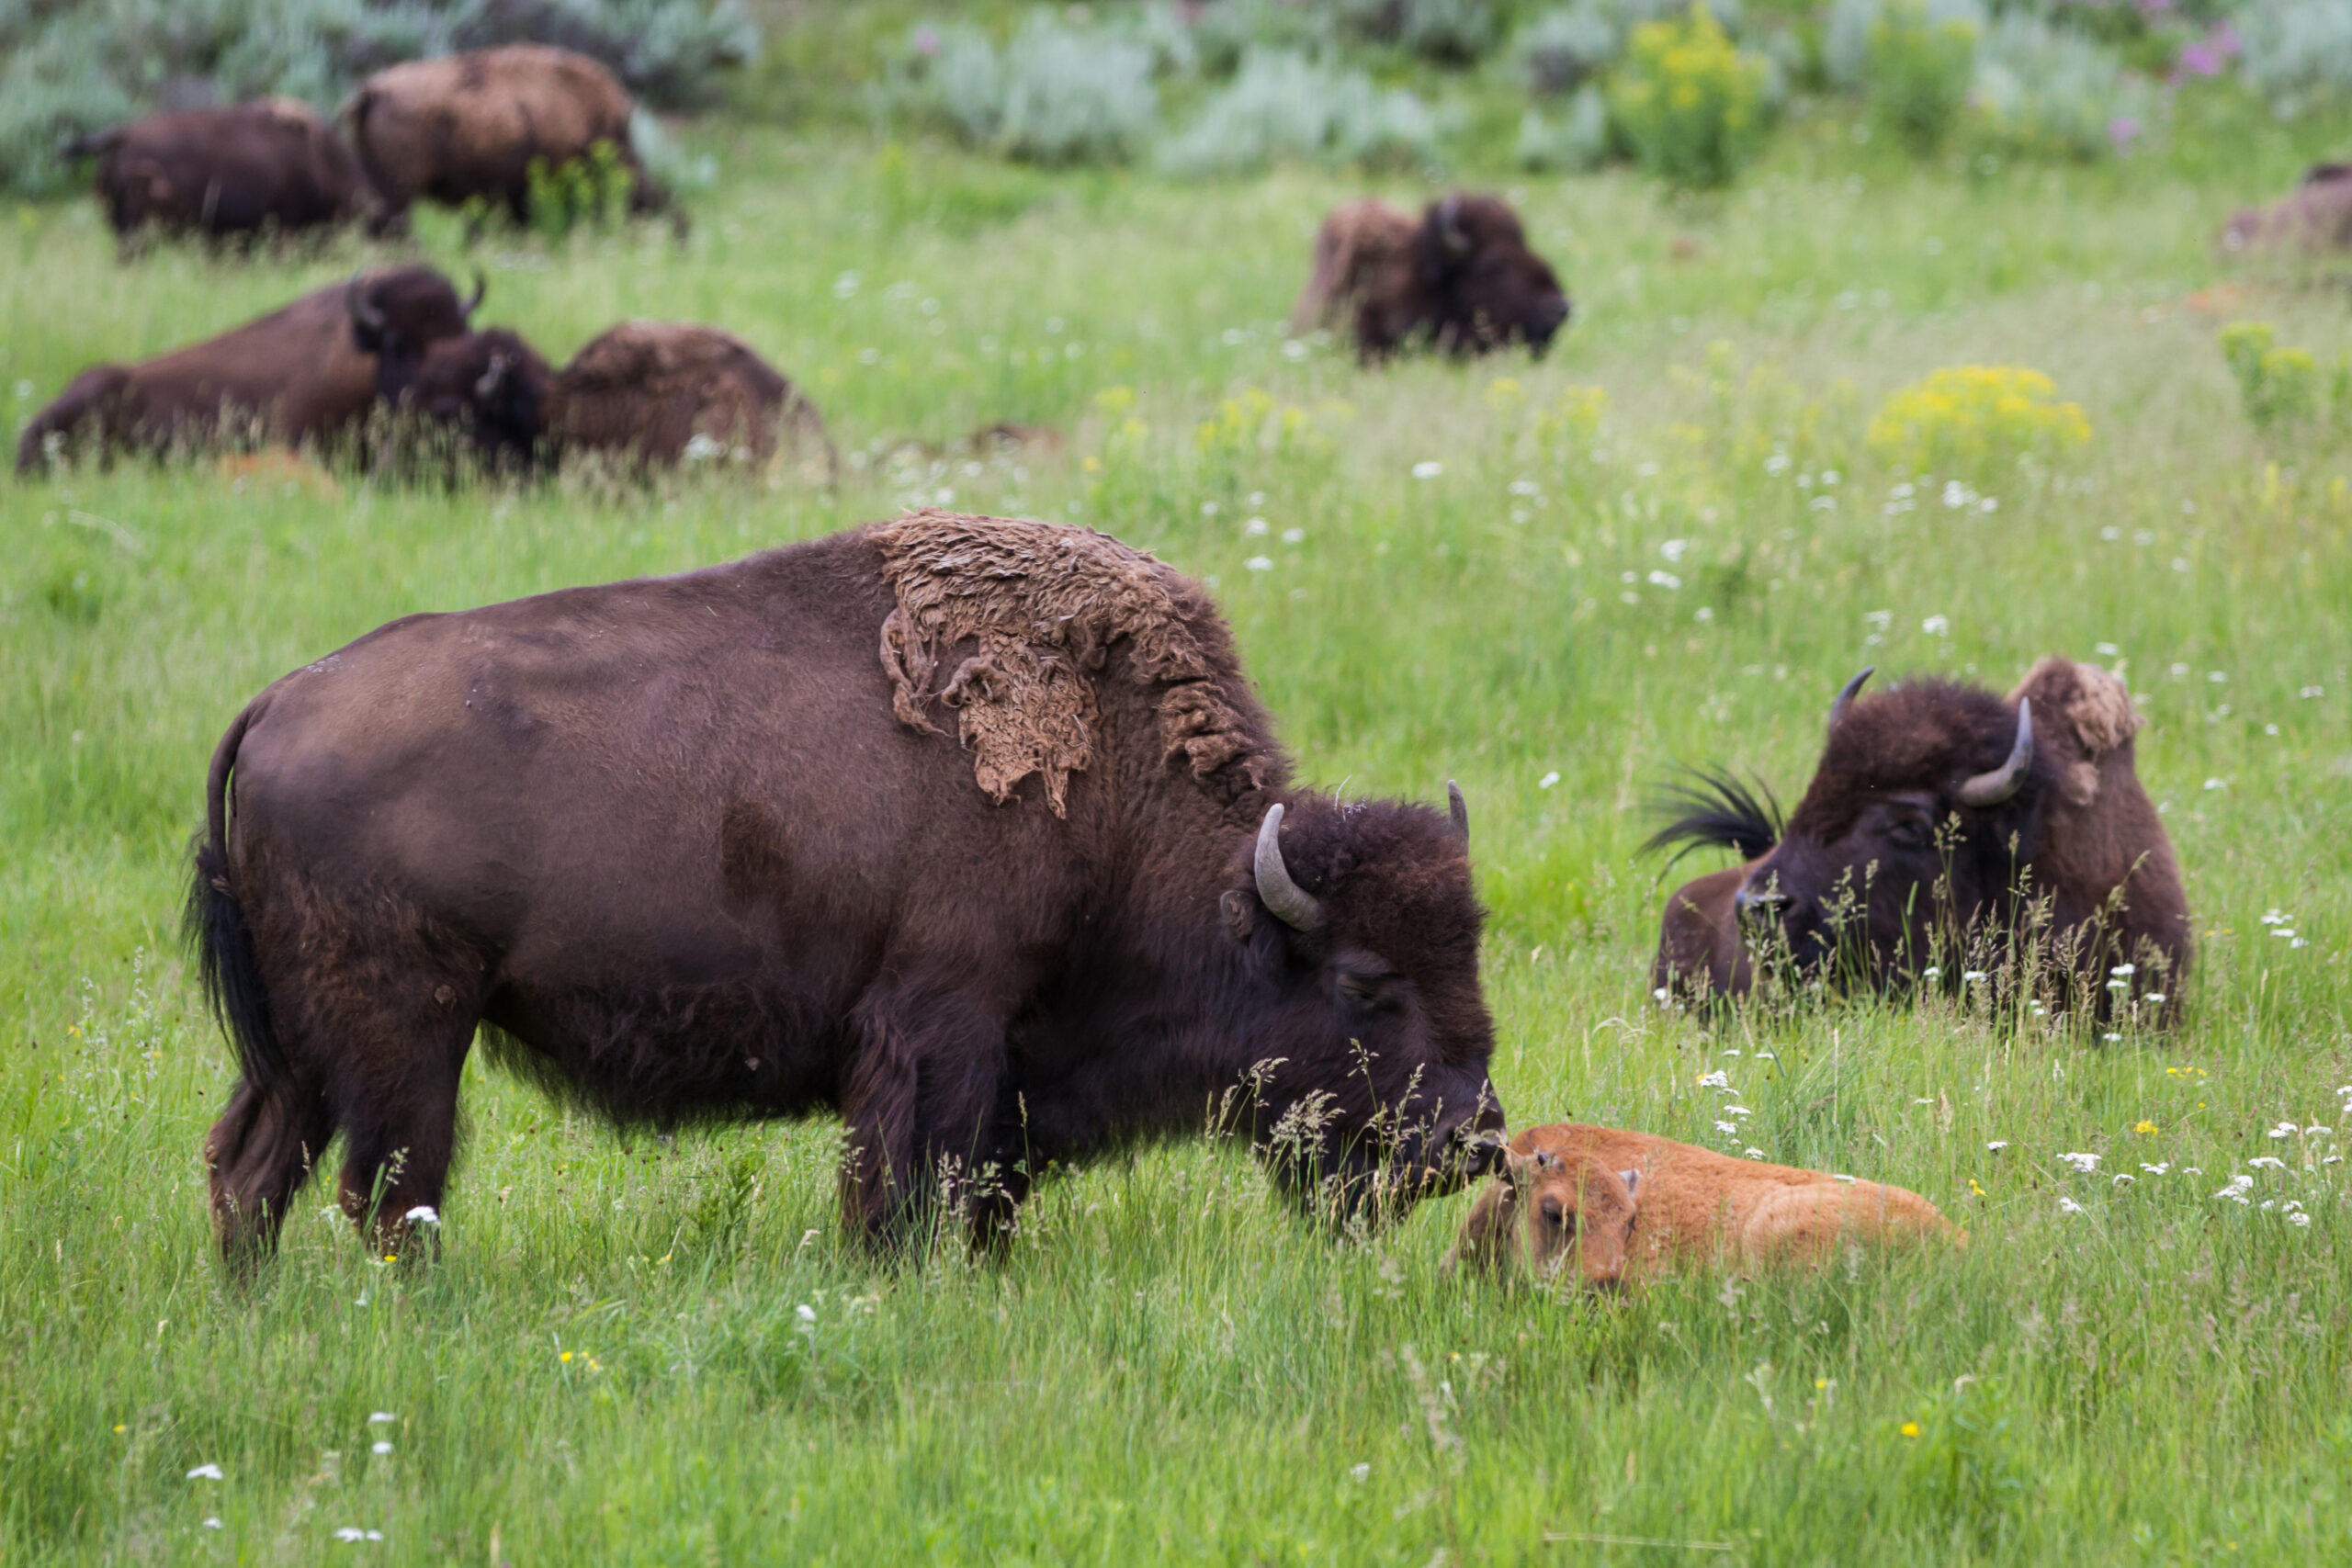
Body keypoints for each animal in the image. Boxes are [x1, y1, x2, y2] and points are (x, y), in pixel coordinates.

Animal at [189, 510, 1507, 1264]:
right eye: (1364, 982)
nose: (1473, 1141)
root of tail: (275, 703)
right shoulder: (940, 1026)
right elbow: (909, 1183)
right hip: (408, 1033)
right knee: (390, 1189)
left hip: (300, 1047)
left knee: (251, 1169)